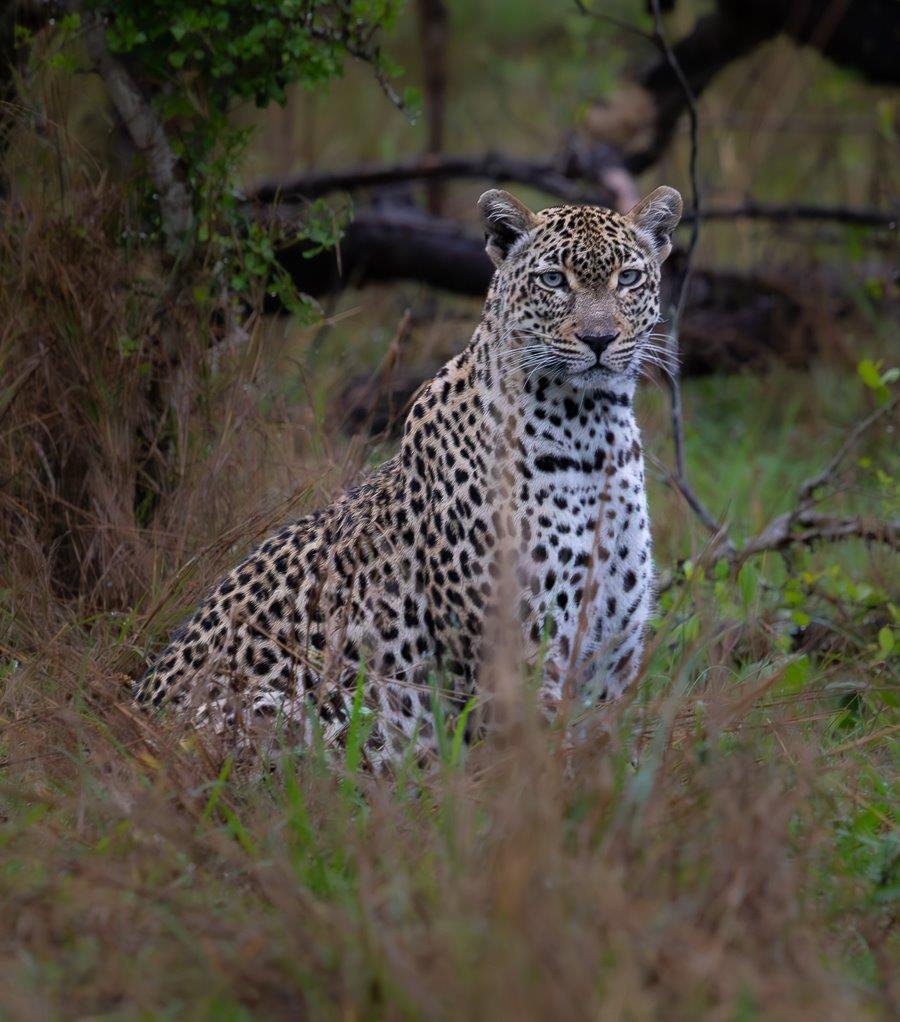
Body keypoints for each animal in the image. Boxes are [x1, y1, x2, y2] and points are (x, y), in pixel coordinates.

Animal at [134, 184, 683, 766]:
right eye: (554, 280)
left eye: (628, 278)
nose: (600, 338)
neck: (593, 434)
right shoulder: (521, 654)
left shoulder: (612, 656)